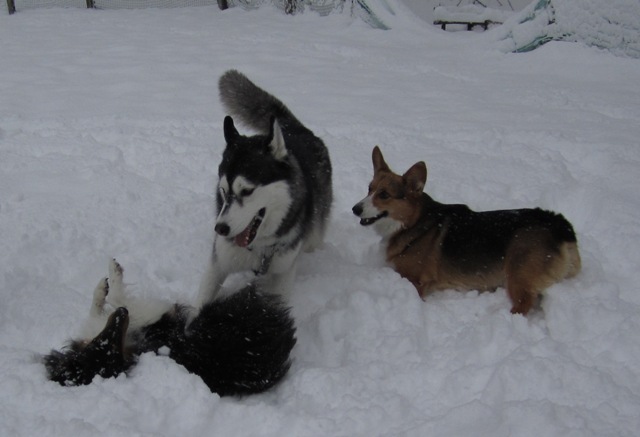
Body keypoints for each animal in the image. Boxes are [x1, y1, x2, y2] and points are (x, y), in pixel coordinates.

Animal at [43, 258, 296, 396]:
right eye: (105, 344)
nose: (123, 314)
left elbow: (102, 306)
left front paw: (102, 286)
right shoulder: (155, 315)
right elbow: (116, 300)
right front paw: (113, 277)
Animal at [352, 146, 584, 314]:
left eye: (384, 195)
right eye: (369, 189)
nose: (355, 209)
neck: (413, 222)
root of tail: (560, 224)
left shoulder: (415, 280)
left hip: (517, 274)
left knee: (523, 304)